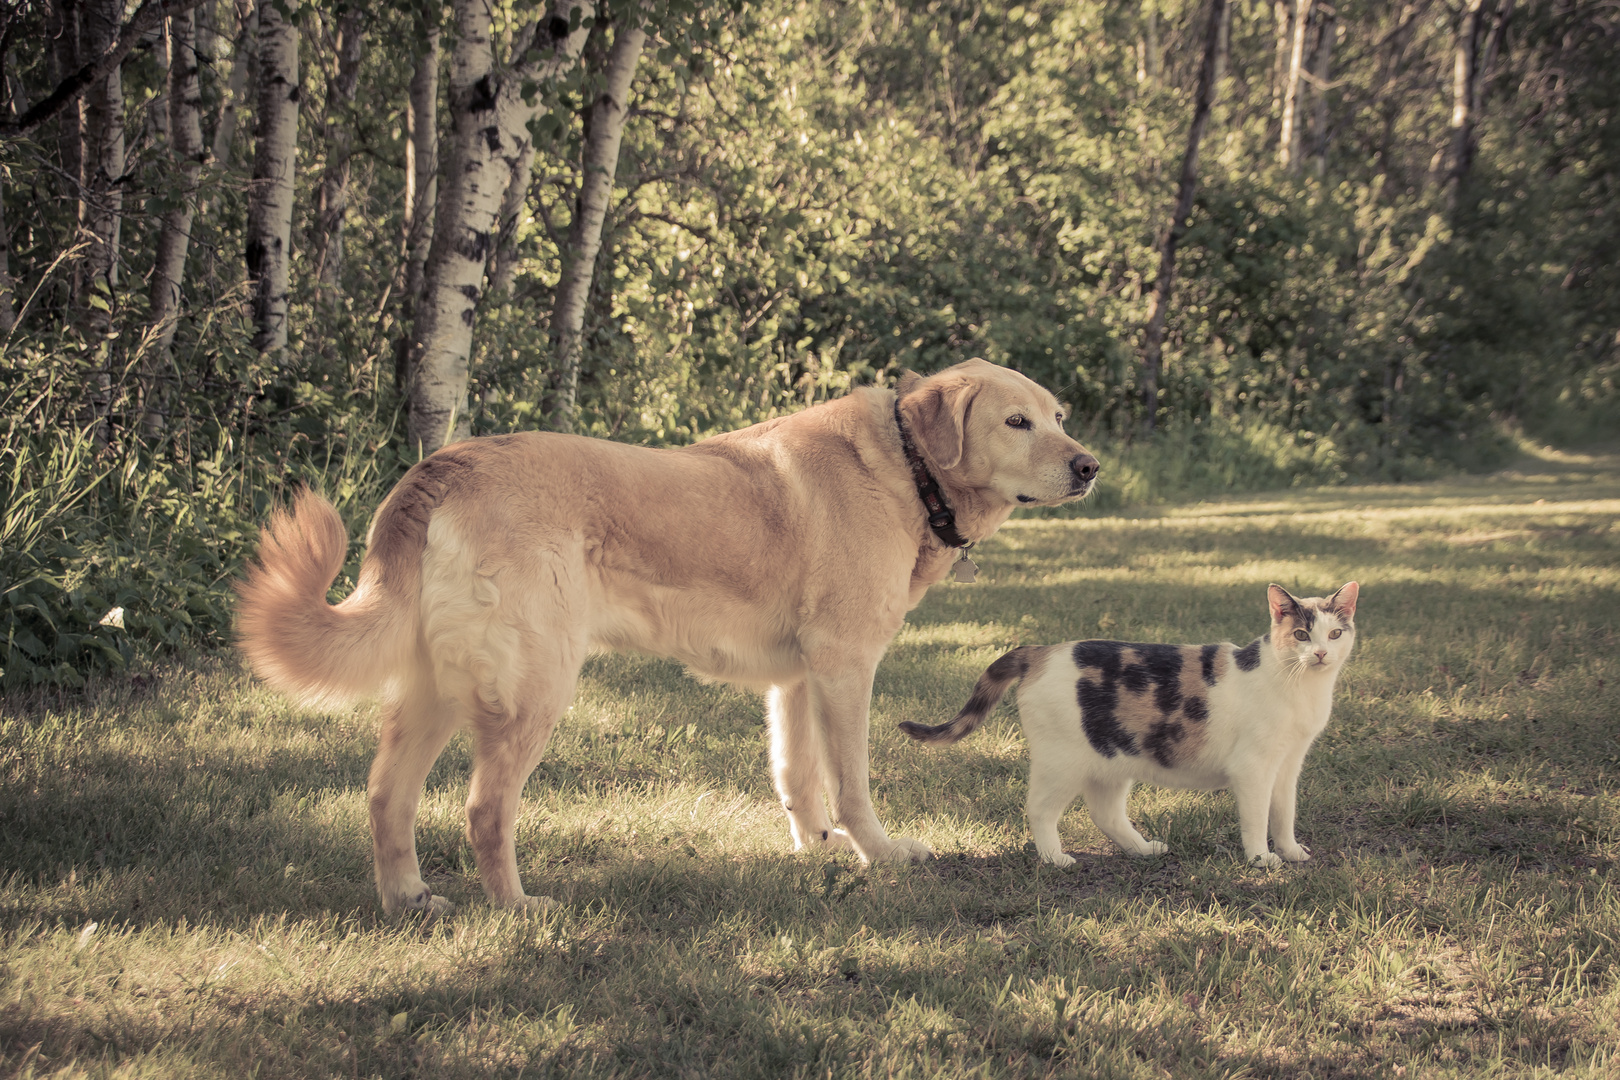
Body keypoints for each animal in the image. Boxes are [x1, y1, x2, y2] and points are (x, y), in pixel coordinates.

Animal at [236, 361, 1101, 913]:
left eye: (1058, 418)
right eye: (1017, 422)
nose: (1090, 466)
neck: (907, 468)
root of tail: (440, 468)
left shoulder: (797, 680)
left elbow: (799, 778)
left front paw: (813, 850)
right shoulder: (845, 667)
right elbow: (852, 784)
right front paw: (881, 856)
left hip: (439, 691)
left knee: (387, 795)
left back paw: (410, 899)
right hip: (533, 687)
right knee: (484, 808)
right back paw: (517, 907)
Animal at [900, 582, 1354, 867]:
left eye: (1334, 634)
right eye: (1300, 634)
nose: (1320, 654)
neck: (1299, 687)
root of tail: (1040, 650)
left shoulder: (1288, 765)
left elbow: (1284, 813)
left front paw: (1291, 852)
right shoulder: (1254, 769)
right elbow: (1258, 819)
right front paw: (1261, 860)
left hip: (1110, 760)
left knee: (1106, 814)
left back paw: (1144, 851)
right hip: (1061, 763)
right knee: (1039, 810)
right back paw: (1055, 859)